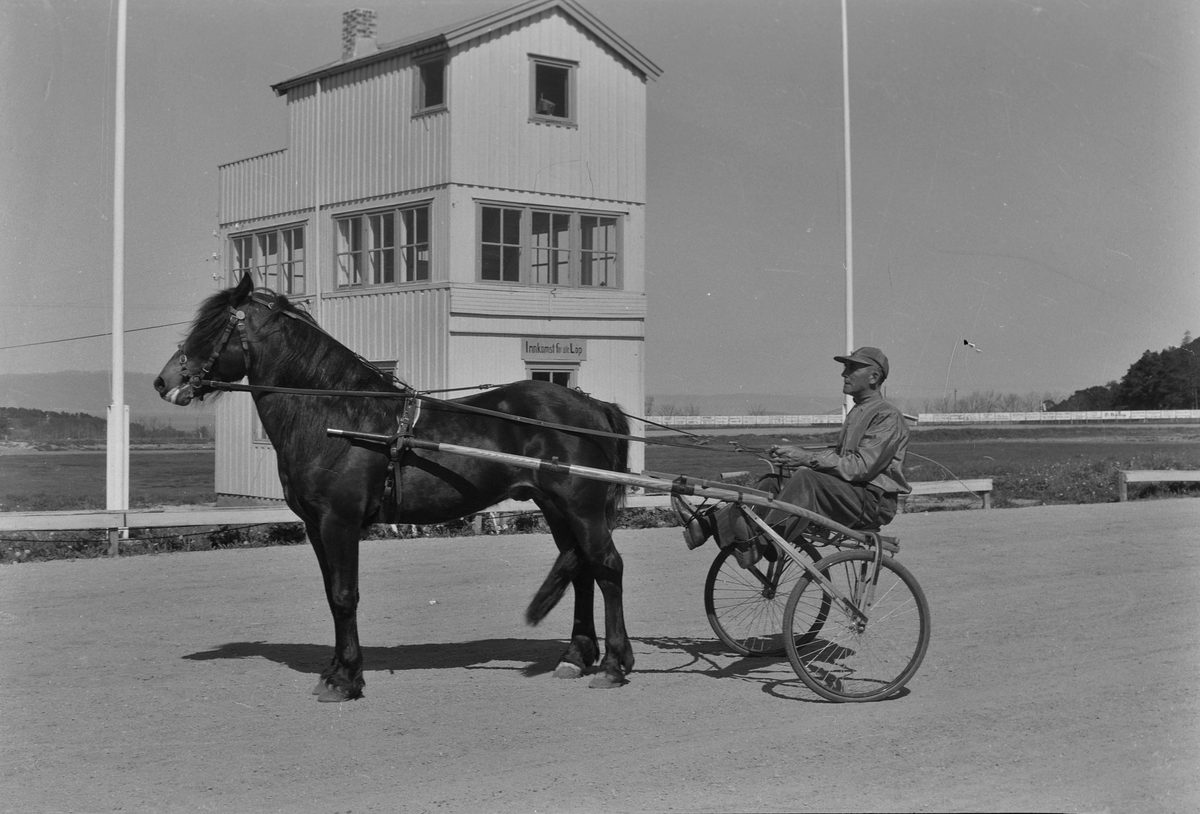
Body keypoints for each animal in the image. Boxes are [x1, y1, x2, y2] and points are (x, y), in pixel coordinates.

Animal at [157, 277, 638, 705]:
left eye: (211, 327)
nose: (163, 381)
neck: (338, 415)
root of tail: (593, 405)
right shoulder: (316, 526)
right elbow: (332, 596)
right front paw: (335, 670)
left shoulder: (340, 521)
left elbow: (344, 596)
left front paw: (346, 680)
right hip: (556, 508)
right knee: (582, 570)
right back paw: (575, 657)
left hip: (582, 507)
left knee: (608, 567)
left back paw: (614, 665)